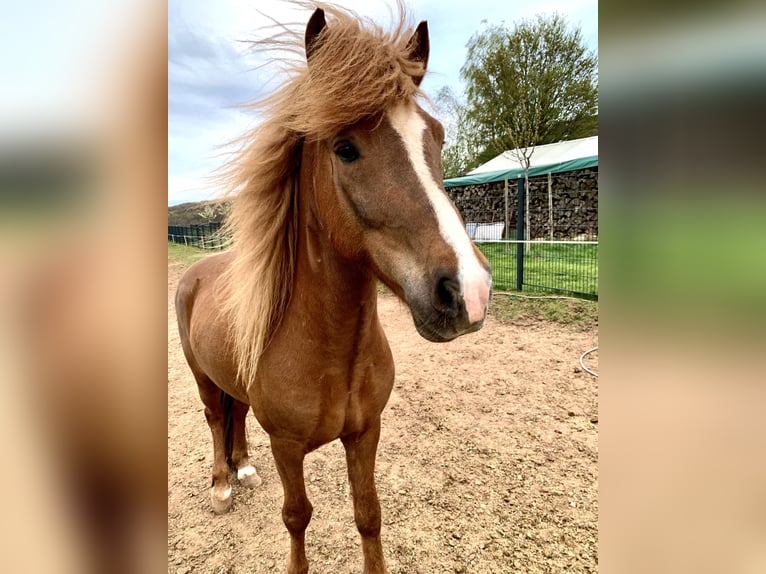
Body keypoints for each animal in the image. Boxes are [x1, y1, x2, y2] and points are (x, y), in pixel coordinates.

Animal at [176, 5, 492, 574]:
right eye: (345, 149)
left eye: (436, 137)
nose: (469, 292)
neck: (330, 352)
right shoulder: (286, 445)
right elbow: (296, 516)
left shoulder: (365, 433)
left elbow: (369, 514)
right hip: (201, 377)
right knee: (215, 418)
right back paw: (221, 485)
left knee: (236, 417)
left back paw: (243, 467)